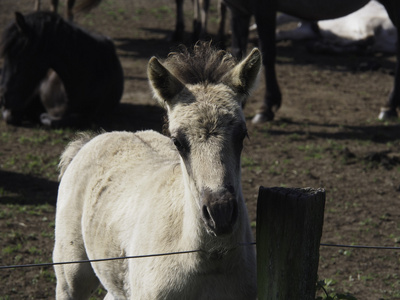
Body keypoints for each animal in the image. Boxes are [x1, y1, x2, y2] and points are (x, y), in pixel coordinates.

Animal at [53, 42, 260, 300]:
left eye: (242, 135)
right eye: (177, 141)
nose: (220, 213)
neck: (206, 263)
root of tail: (91, 140)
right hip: (70, 274)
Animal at [227, 0, 398, 123]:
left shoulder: (265, 8)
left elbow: (267, 53)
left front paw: (266, 107)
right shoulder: (237, 10)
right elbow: (238, 54)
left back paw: (389, 107)